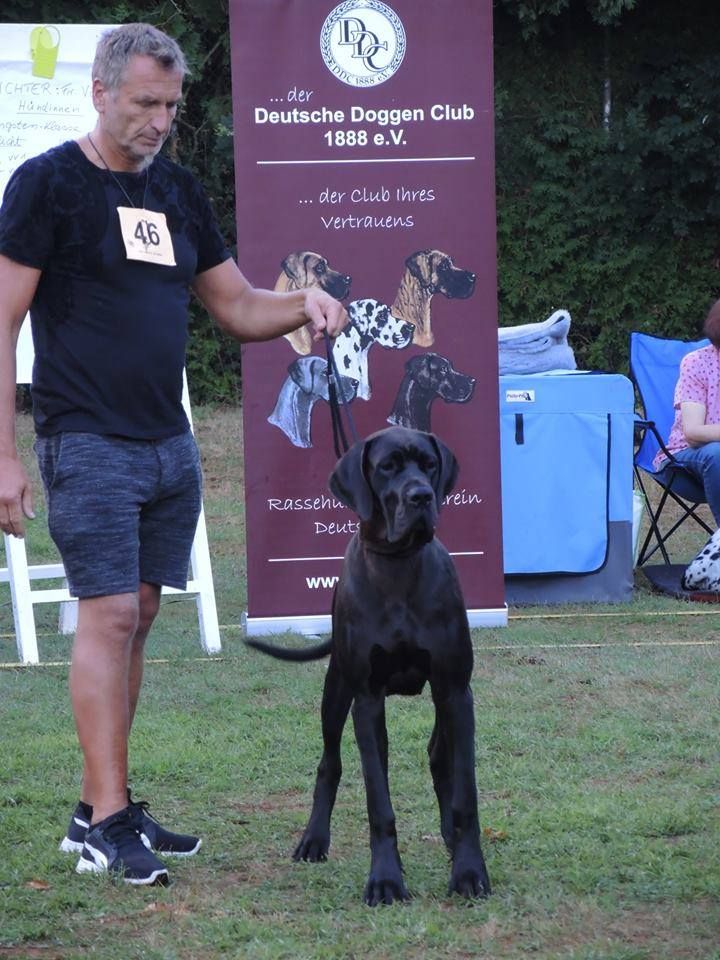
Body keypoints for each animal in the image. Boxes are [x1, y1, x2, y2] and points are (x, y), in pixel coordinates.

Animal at [246, 424, 490, 904]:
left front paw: (470, 871)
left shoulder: (456, 690)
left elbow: (465, 792)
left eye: (429, 465)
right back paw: (314, 840)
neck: (399, 568)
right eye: (387, 468)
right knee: (329, 764)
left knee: (439, 756)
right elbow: (378, 801)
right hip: (336, 689)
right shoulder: (367, 699)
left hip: (441, 699)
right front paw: (385, 880)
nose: (420, 496)